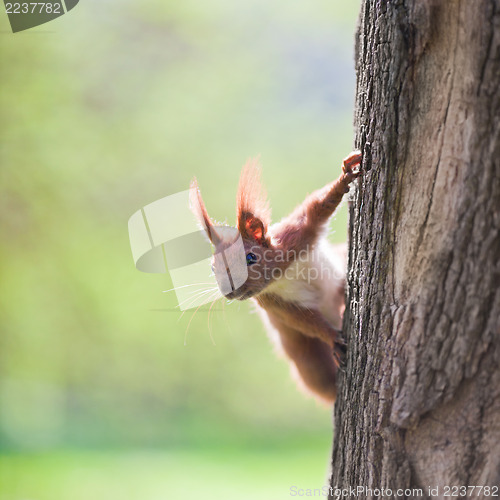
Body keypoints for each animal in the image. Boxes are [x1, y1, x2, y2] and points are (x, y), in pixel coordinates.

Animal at [189, 151, 362, 402]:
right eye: (213, 268)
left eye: (250, 258)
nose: (229, 291)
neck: (281, 274)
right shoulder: (272, 302)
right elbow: (303, 319)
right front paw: (332, 337)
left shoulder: (296, 236)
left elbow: (317, 207)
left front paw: (346, 175)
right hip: (306, 356)